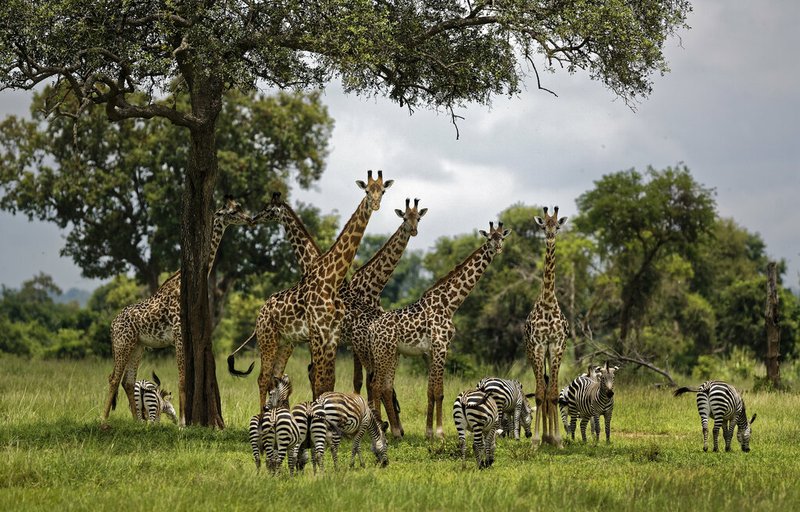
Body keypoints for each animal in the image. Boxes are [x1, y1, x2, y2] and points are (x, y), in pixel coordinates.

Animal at [101, 198, 250, 426]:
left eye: (240, 207)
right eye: (233, 211)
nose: (249, 218)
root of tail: (112, 325)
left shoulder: (182, 338)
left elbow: (183, 379)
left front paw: (183, 421)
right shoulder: (179, 336)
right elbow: (181, 380)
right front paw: (182, 423)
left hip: (138, 346)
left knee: (128, 380)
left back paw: (137, 421)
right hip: (122, 343)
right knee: (113, 378)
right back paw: (103, 420)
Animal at [228, 170, 394, 406]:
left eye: (383, 191)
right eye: (367, 191)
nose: (253, 219)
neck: (329, 276)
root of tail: (260, 313)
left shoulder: (329, 336)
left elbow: (325, 381)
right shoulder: (317, 335)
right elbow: (319, 380)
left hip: (291, 342)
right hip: (271, 338)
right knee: (264, 378)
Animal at [340, 199, 428, 396]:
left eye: (418, 218)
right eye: (404, 218)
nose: (414, 231)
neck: (375, 286)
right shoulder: (357, 341)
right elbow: (360, 380)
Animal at [368, 222, 510, 438]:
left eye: (501, 237)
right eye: (489, 238)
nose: (498, 248)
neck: (450, 304)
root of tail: (372, 327)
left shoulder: (431, 351)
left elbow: (431, 391)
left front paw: (429, 432)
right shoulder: (441, 346)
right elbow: (439, 392)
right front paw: (440, 433)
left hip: (393, 354)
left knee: (385, 387)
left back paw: (396, 432)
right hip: (383, 352)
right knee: (376, 386)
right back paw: (383, 430)